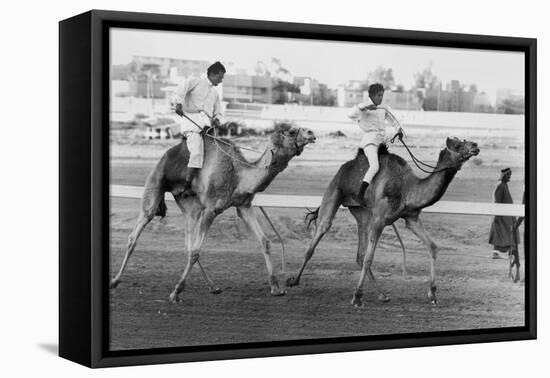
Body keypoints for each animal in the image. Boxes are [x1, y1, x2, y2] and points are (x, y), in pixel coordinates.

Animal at [110, 123, 316, 302]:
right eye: (291, 131)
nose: (312, 133)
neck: (238, 175)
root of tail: (167, 153)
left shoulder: (244, 206)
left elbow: (265, 241)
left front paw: (275, 288)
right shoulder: (211, 209)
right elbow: (196, 251)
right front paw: (175, 293)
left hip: (189, 204)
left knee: (188, 243)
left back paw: (213, 286)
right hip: (156, 183)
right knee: (137, 233)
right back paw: (115, 281)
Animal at [286, 137, 480, 308]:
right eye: (458, 144)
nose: (475, 145)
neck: (407, 189)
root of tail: (344, 167)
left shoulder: (411, 218)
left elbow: (432, 246)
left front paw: (432, 294)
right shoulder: (380, 220)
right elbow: (369, 258)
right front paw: (356, 298)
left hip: (361, 212)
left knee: (359, 253)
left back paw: (383, 295)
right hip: (335, 191)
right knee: (318, 237)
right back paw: (293, 281)